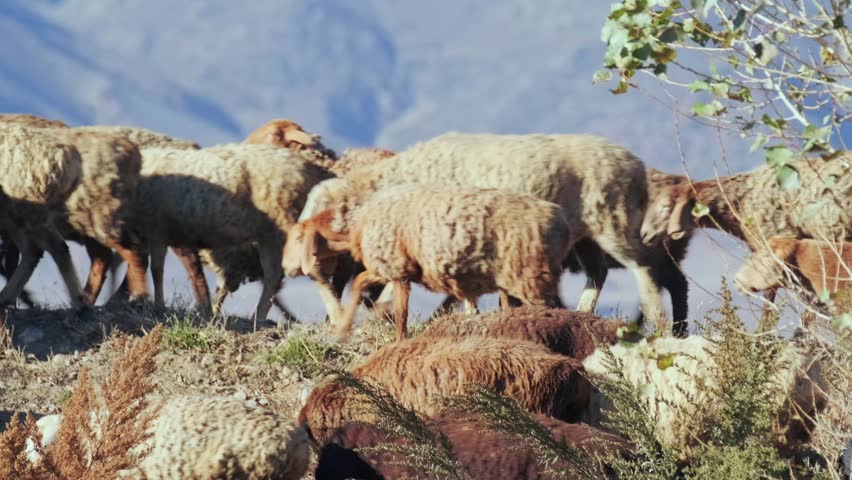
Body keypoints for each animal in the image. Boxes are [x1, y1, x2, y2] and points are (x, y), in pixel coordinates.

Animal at [0, 125, 85, 307]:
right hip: (17, 217)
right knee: (32, 253)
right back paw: (5, 298)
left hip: (30, 210)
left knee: (56, 248)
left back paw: (79, 302)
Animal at [131, 143, 334, 325]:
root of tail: (314, 172)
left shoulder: (157, 230)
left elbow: (156, 270)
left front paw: (158, 305)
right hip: (268, 236)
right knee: (272, 276)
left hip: (279, 231)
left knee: (275, 277)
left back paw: (258, 317)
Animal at [285, 185, 578, 339]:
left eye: (298, 238)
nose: (286, 268)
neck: (360, 224)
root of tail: (561, 222)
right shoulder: (390, 268)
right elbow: (360, 283)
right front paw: (345, 327)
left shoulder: (396, 269)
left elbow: (399, 313)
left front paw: (395, 340)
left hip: (532, 277)